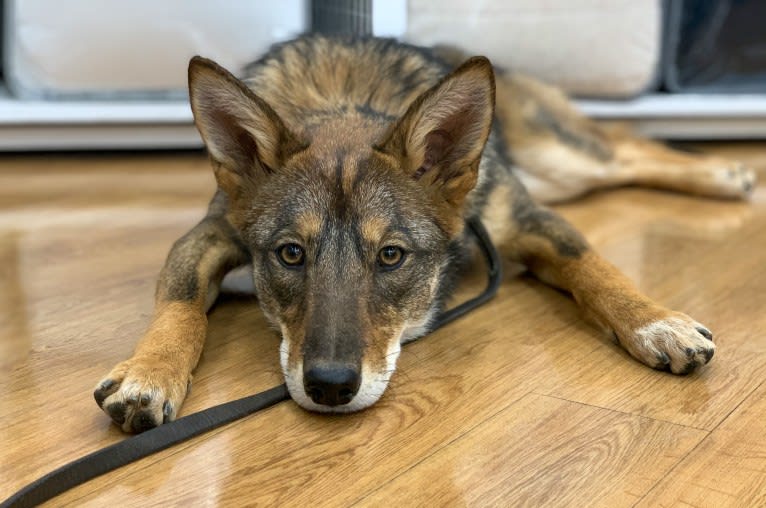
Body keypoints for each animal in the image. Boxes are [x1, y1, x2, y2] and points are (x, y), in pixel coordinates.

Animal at [94, 34, 756, 432]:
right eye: (290, 254)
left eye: (392, 255)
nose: (329, 388)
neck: (346, 101)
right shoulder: (206, 235)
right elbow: (180, 308)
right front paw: (151, 372)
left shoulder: (532, 221)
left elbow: (595, 268)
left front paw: (655, 322)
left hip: (563, 163)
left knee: (628, 149)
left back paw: (729, 175)